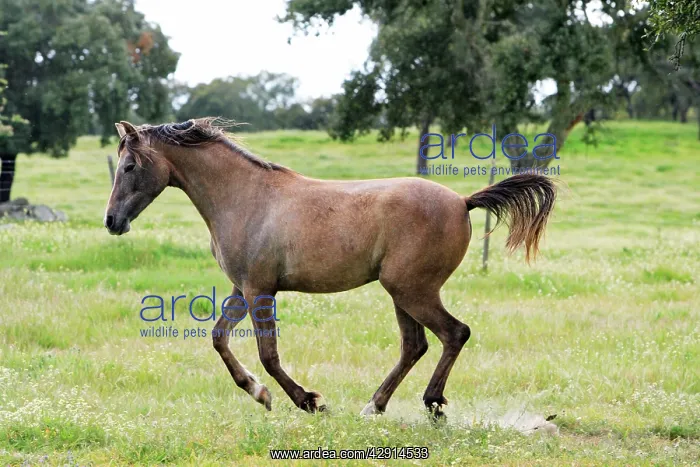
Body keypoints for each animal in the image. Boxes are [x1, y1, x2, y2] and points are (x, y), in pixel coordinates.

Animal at [104, 118, 556, 418]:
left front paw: (307, 401)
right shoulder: (241, 288)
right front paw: (259, 393)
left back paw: (431, 403)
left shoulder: (260, 290)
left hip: (412, 290)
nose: (111, 222)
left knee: (454, 334)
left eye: (129, 166)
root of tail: (463, 201)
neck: (245, 197)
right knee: (415, 346)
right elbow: (219, 339)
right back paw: (374, 405)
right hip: (402, 292)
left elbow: (268, 354)